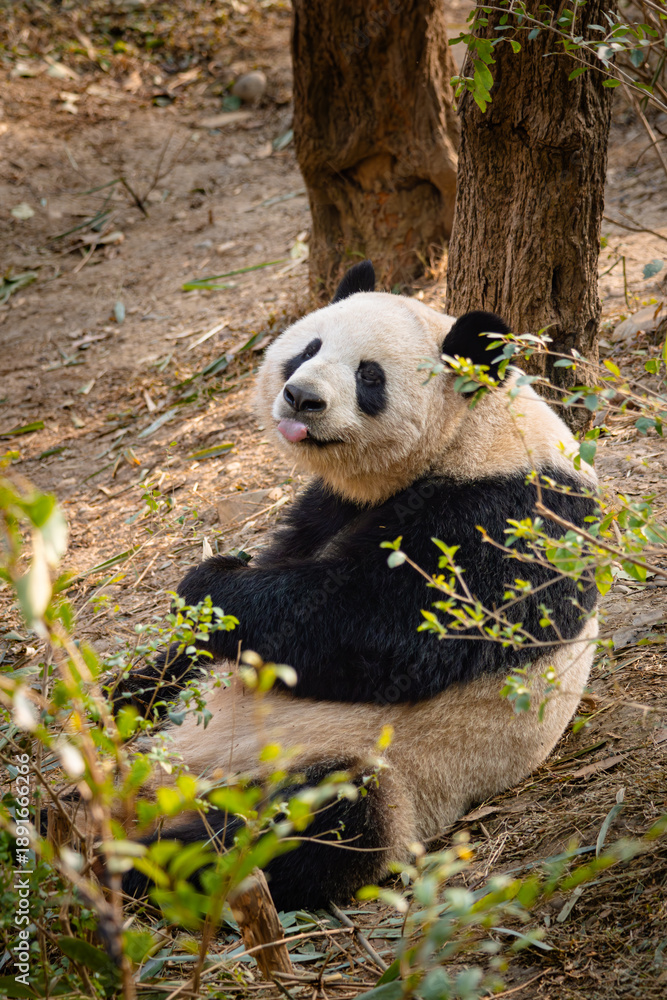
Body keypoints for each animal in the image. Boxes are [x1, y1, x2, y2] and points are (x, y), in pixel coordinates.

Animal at [116, 260, 598, 912]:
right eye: (308, 349)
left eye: (369, 376)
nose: (302, 397)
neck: (469, 431)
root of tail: (179, 777)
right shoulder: (330, 506)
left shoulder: (512, 514)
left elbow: (386, 630)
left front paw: (213, 581)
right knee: (157, 685)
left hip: (374, 766)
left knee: (319, 825)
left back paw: (137, 858)